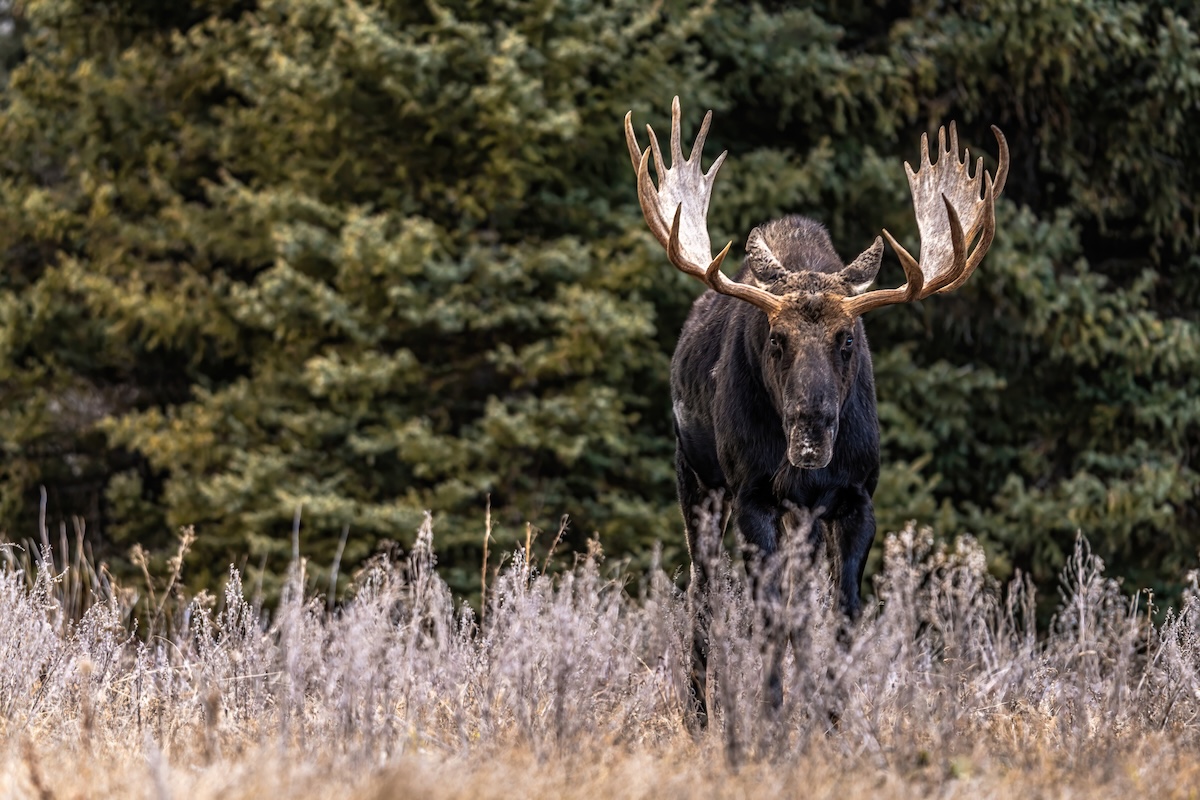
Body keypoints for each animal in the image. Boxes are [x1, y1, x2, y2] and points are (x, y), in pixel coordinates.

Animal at [624, 97, 1008, 724]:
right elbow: (772, 615)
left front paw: (830, 716)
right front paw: (773, 712)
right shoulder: (753, 493)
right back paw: (700, 714)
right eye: (775, 339)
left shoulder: (855, 498)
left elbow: (842, 615)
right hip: (697, 478)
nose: (810, 434)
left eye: (847, 339)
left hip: (798, 516)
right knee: (704, 593)